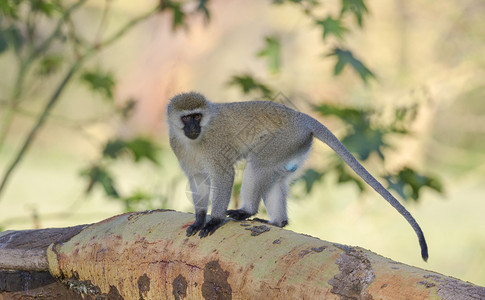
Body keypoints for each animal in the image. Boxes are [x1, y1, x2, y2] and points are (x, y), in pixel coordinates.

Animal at [166, 91, 428, 260]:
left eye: (197, 116)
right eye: (186, 118)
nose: (192, 128)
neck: (197, 139)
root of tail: (300, 117)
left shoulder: (216, 148)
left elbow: (223, 176)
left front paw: (214, 220)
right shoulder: (179, 150)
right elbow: (198, 182)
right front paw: (199, 219)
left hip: (286, 139)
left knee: (258, 165)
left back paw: (247, 211)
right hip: (294, 146)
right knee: (274, 178)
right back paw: (277, 222)